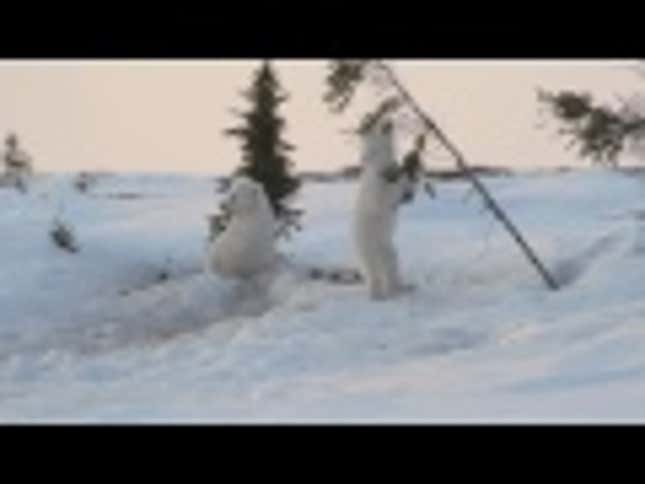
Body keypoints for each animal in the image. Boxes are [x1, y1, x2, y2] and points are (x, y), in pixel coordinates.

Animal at [353, 118, 415, 300]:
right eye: (376, 126)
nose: (388, 121)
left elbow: (403, 184)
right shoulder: (376, 190)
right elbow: (381, 200)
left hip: (389, 249)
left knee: (391, 266)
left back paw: (401, 288)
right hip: (368, 247)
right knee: (374, 272)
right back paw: (378, 294)